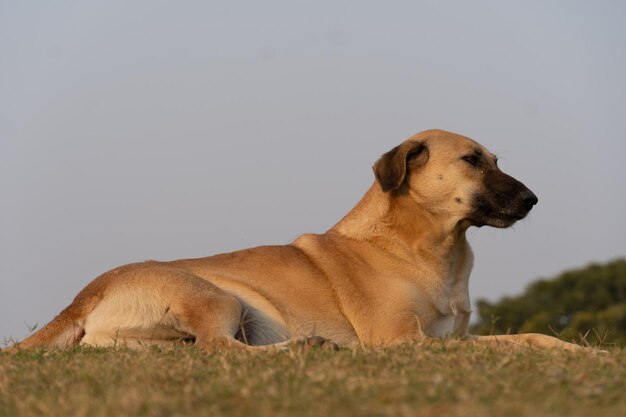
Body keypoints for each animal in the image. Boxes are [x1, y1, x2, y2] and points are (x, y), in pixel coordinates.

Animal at [7, 129, 580, 352]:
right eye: (471, 160)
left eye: (495, 160)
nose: (533, 199)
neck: (426, 249)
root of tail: (84, 297)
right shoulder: (401, 339)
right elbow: (518, 339)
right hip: (216, 296)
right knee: (220, 350)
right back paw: (308, 345)